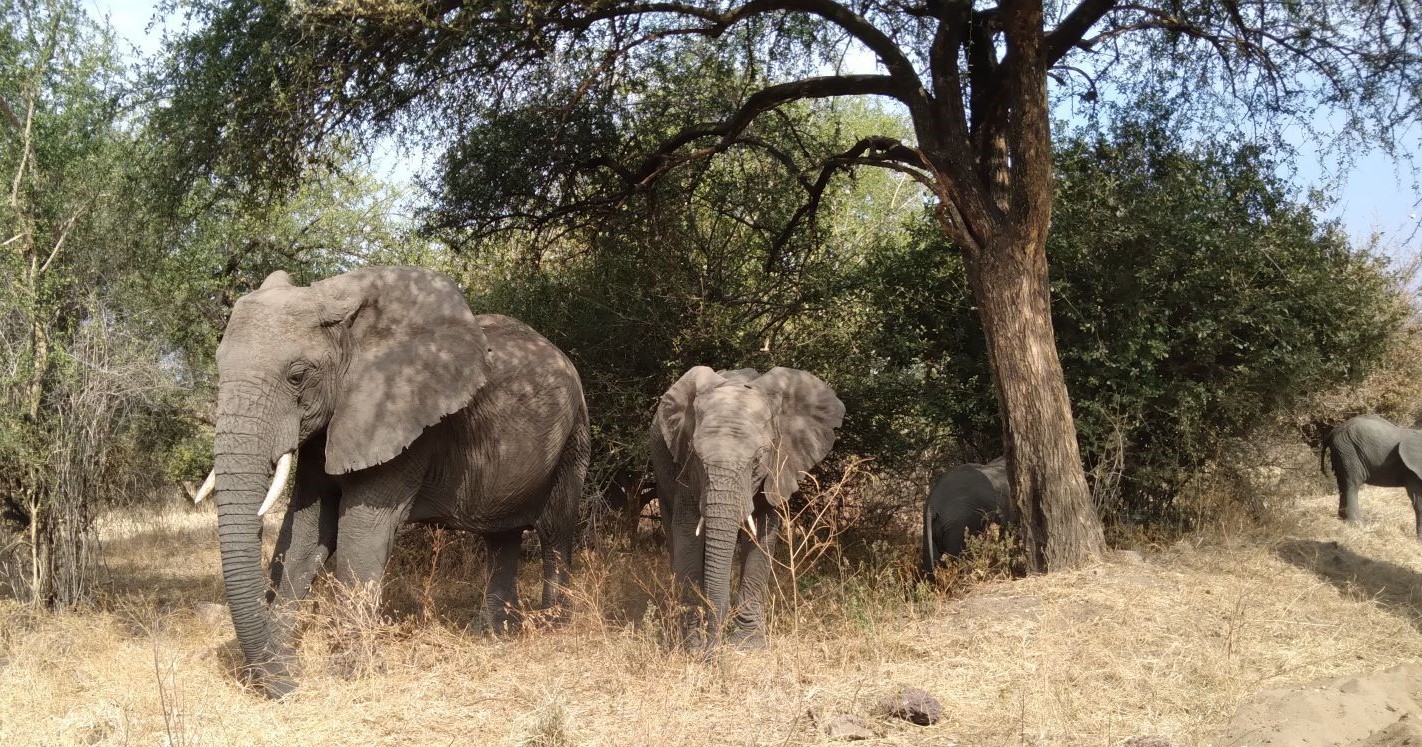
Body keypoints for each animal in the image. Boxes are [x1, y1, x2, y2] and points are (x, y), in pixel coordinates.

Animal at [198, 266, 589, 698]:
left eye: (297, 377)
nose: (291, 686)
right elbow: (306, 531)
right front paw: (284, 664)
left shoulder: (400, 419)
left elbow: (360, 531)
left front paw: (349, 672)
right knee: (500, 535)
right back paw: (492, 634)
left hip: (574, 435)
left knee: (554, 529)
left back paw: (551, 625)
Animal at [650, 366, 844, 651]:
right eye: (696, 456)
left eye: (757, 459)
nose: (712, 652)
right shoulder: (683, 467)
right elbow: (687, 532)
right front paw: (692, 647)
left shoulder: (776, 467)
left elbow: (762, 533)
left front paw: (747, 646)